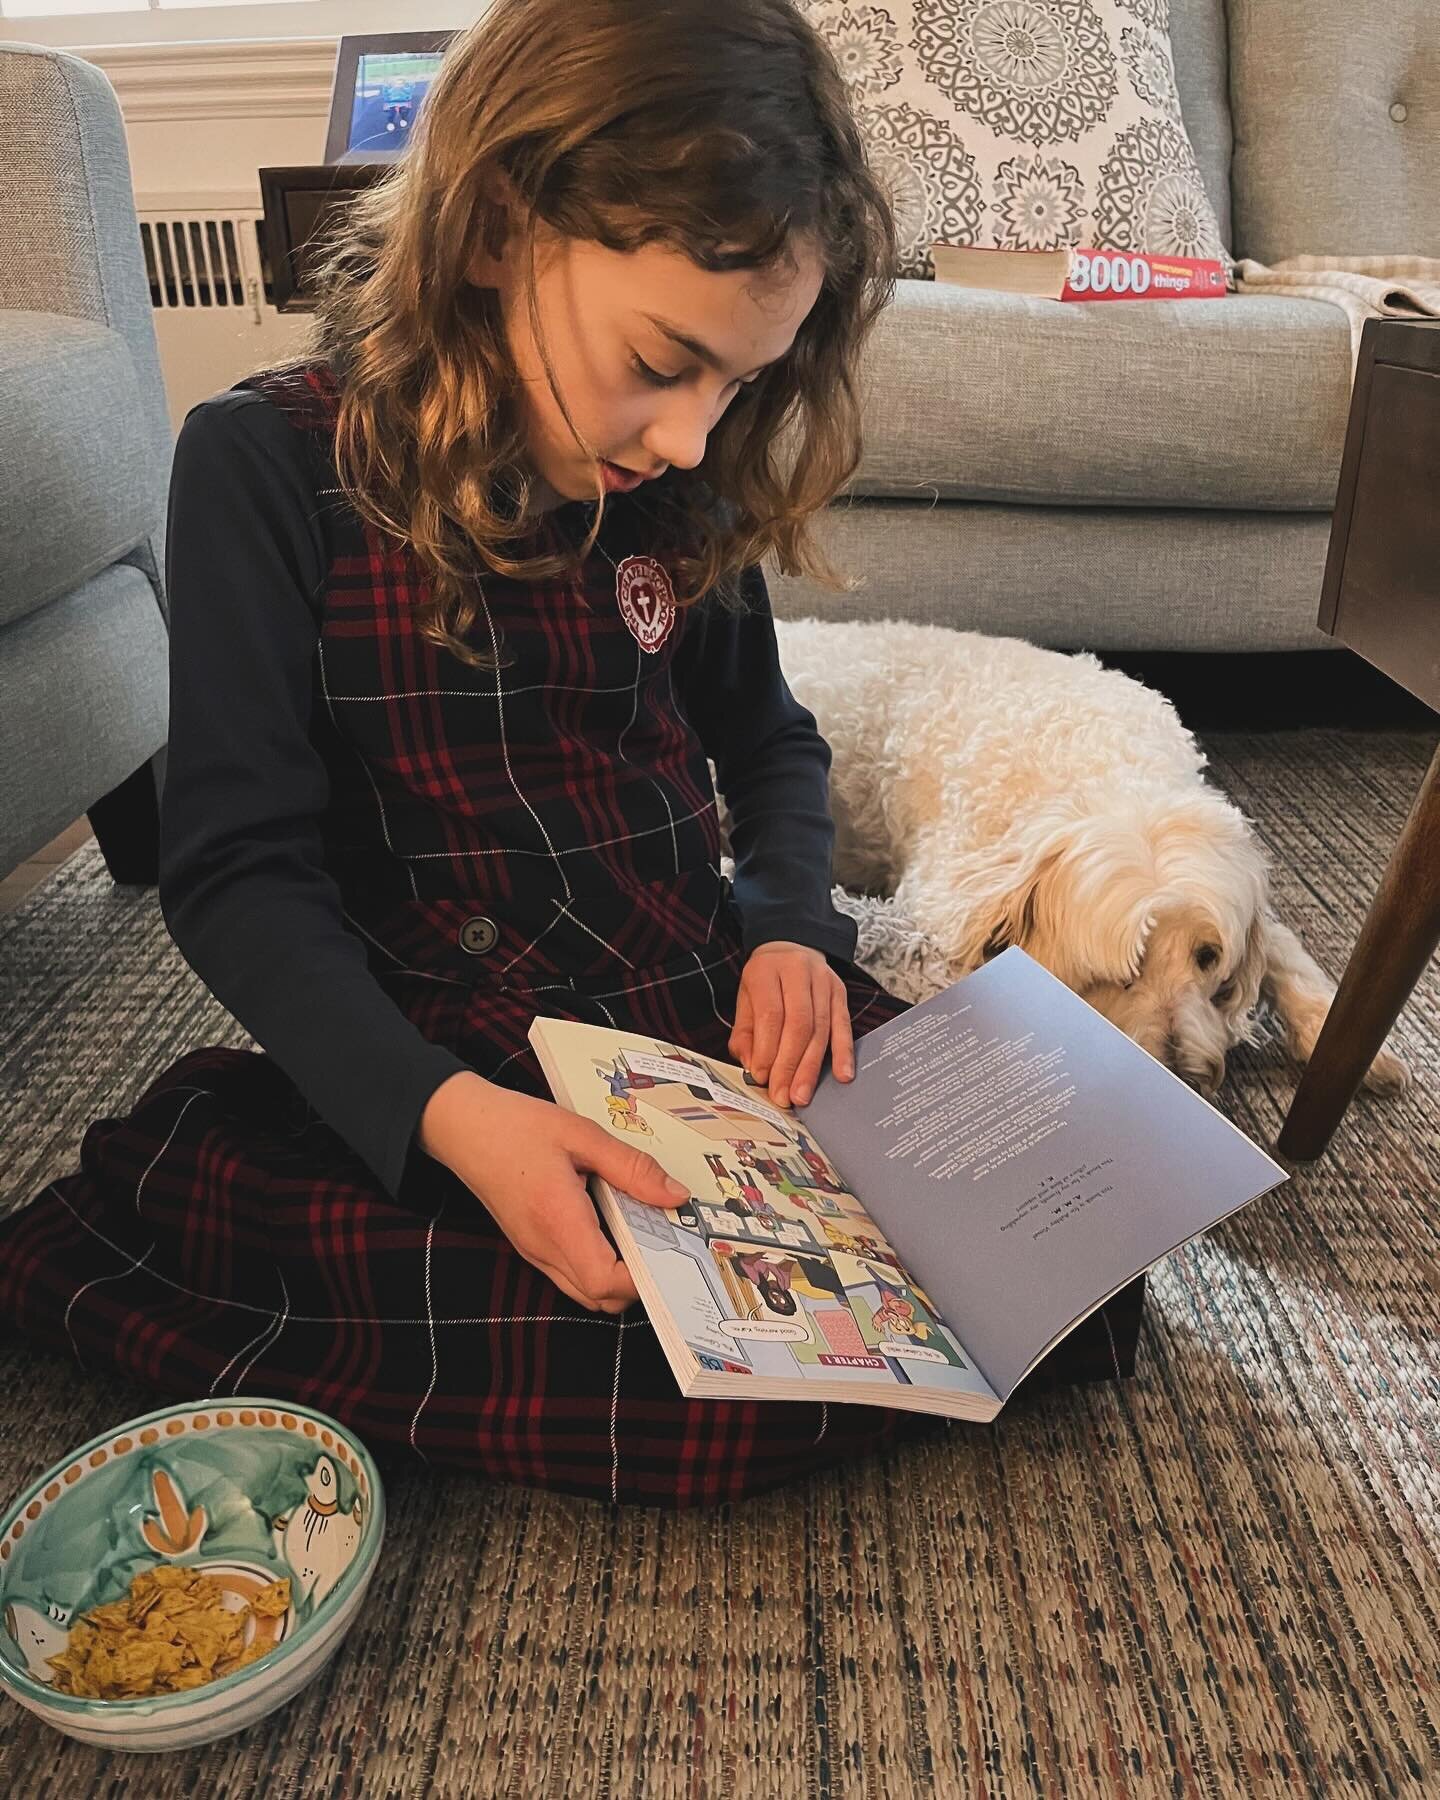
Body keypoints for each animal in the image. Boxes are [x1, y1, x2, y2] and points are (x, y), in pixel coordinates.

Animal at [770, 612, 1411, 1101]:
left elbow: (1281, 948)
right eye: (1119, 973)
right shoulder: (947, 902)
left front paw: (1335, 1035)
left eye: (1207, 957)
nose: (1185, 1080)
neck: (1105, 772)